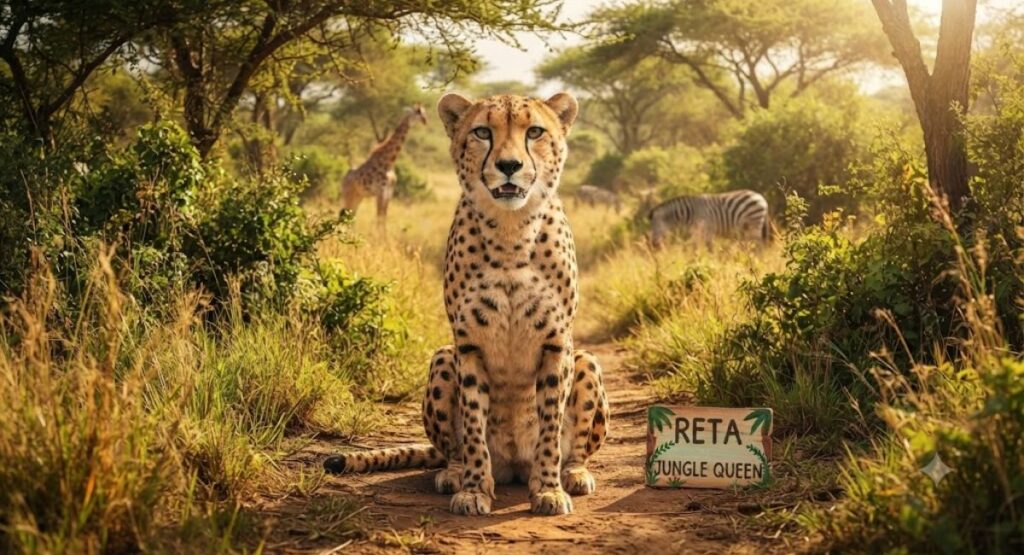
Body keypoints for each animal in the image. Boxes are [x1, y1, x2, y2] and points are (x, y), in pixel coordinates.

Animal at [324, 92, 609, 517]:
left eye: (534, 131)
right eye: (482, 132)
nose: (509, 166)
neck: (511, 233)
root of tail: (514, 465)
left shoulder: (557, 342)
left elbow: (550, 423)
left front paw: (548, 489)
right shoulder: (468, 342)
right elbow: (473, 423)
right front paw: (474, 489)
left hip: (586, 359)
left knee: (577, 446)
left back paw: (574, 473)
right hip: (443, 357)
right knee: (451, 449)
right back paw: (455, 473)